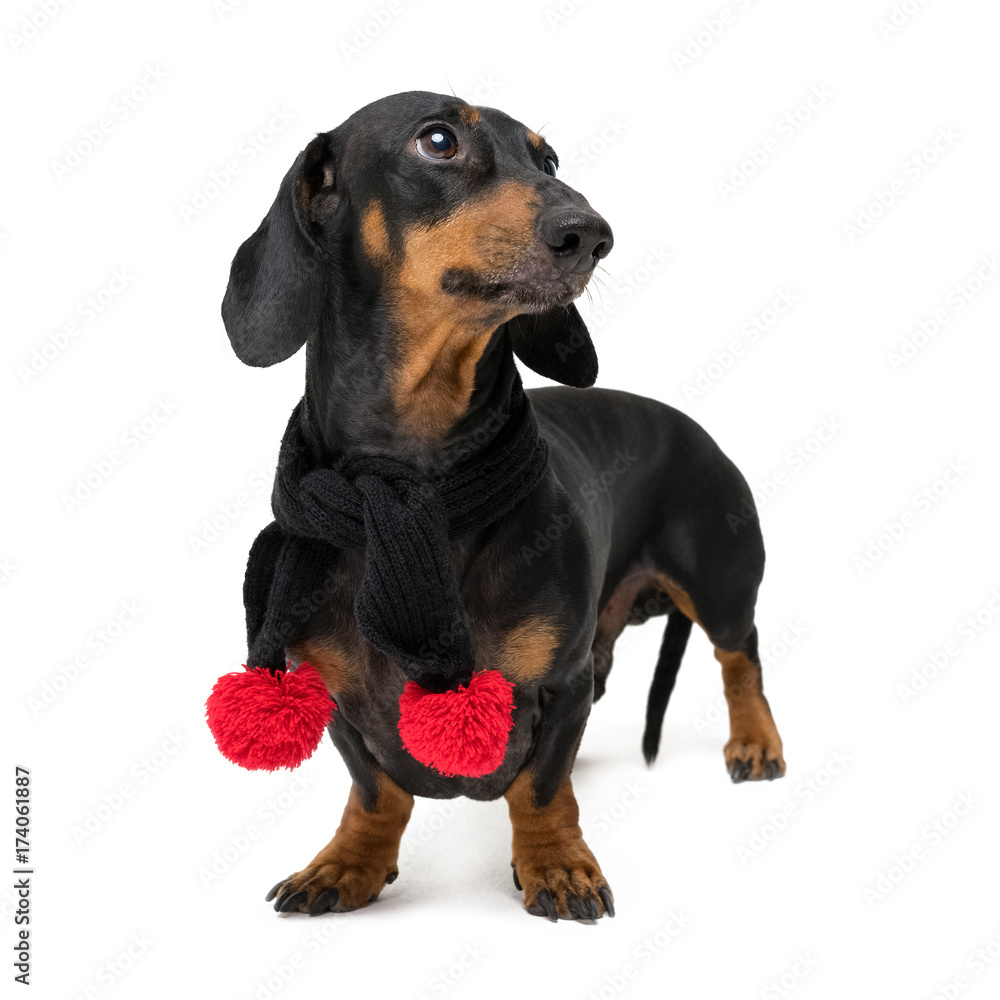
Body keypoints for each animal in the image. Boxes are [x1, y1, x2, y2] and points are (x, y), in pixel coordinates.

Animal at [223, 94, 784, 920]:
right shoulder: (336, 701)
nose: (591, 233)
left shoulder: (560, 683)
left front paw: (557, 864)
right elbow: (376, 790)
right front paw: (347, 863)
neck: (411, 489)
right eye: (438, 140)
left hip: (719, 577)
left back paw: (755, 741)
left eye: (547, 159)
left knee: (740, 655)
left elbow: (541, 788)